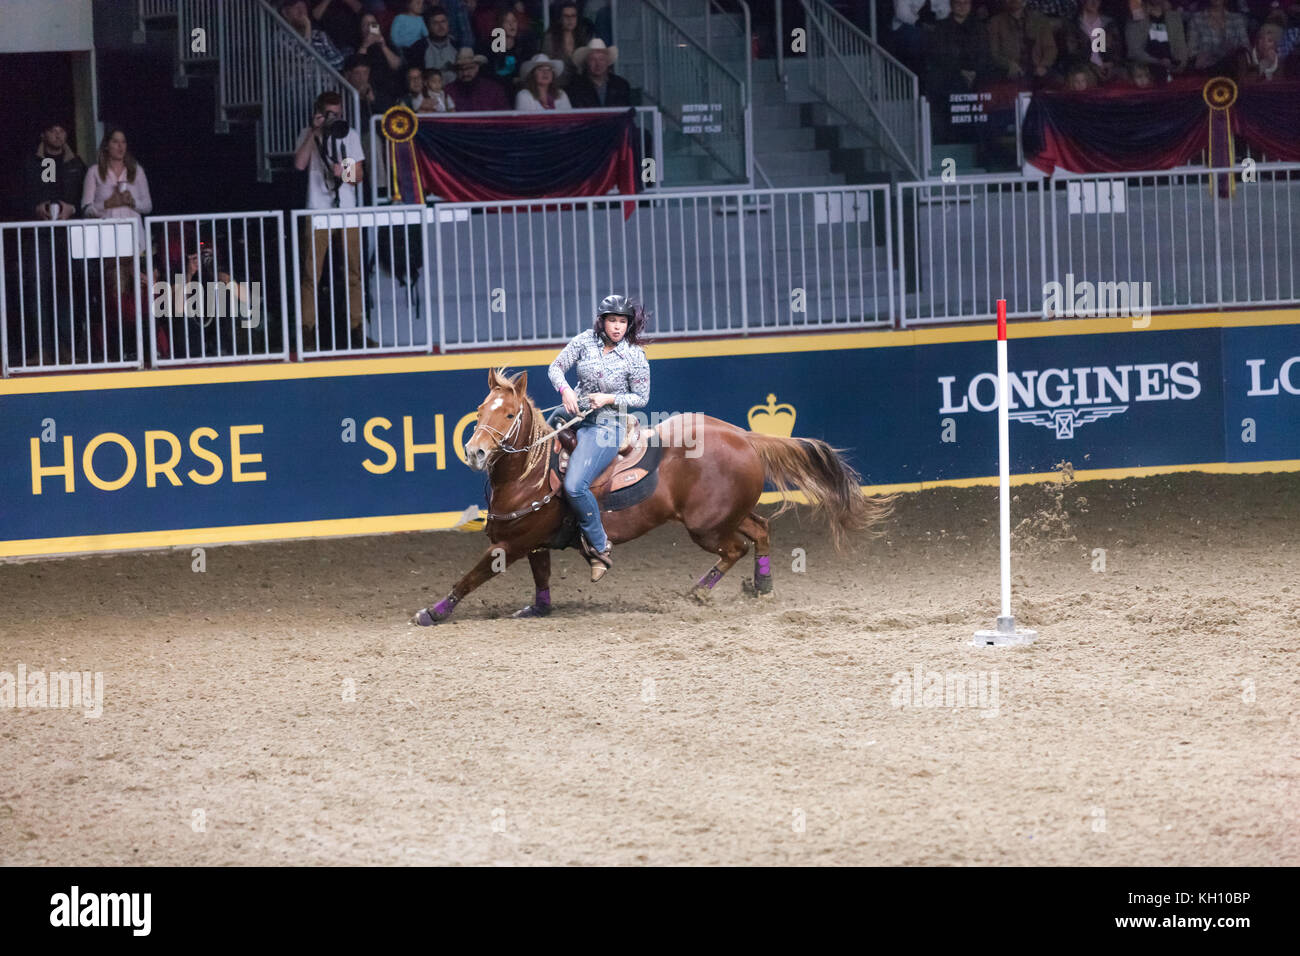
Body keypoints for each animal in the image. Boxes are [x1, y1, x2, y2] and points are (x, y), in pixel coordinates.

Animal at [413, 369, 894, 629]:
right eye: (479, 411)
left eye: (511, 414)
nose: (475, 452)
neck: (534, 474)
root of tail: (745, 436)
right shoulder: (532, 544)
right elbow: (542, 579)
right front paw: (537, 610)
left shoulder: (510, 544)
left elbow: (471, 577)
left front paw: (432, 613)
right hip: (725, 515)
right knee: (761, 530)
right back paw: (761, 587)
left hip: (706, 527)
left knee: (736, 547)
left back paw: (698, 594)